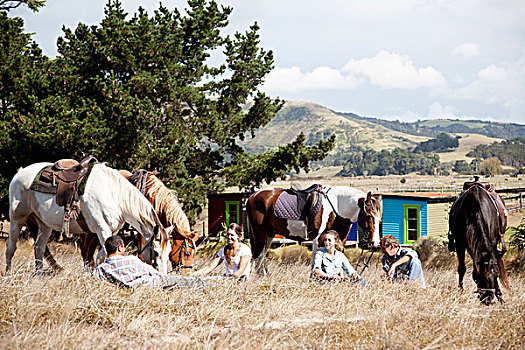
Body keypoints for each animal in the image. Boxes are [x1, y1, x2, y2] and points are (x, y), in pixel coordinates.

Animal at [5, 163, 172, 274]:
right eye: (155, 252)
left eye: (169, 251)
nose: (163, 276)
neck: (113, 193)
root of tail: (20, 173)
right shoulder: (102, 230)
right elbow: (104, 255)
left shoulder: (112, 231)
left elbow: (100, 255)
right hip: (17, 218)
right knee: (11, 246)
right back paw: (8, 273)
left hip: (44, 224)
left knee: (39, 248)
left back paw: (39, 275)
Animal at [246, 186, 380, 274]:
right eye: (369, 216)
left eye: (379, 218)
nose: (375, 243)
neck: (336, 208)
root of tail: (252, 196)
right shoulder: (318, 240)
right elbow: (316, 264)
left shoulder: (340, 242)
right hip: (259, 234)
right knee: (258, 257)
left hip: (268, 235)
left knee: (260, 258)